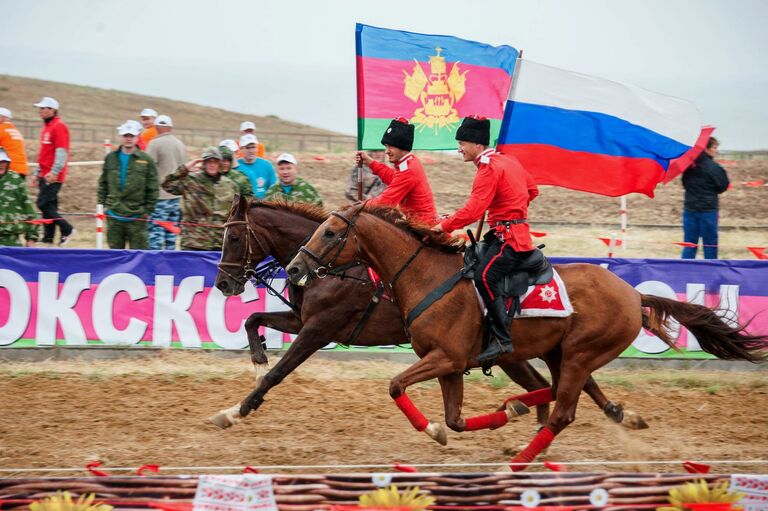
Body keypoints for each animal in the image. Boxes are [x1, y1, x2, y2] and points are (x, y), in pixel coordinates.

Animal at [207, 197, 644, 436]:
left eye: (234, 236)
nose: (224, 283)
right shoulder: (303, 321)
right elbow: (253, 320)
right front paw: (257, 357)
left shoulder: (318, 328)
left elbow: (279, 372)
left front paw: (237, 410)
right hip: (525, 354)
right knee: (558, 383)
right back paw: (606, 415)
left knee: (560, 383)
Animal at [284, 203, 764, 472]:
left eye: (330, 231)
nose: (293, 267)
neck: (428, 277)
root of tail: (632, 293)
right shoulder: (450, 365)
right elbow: (455, 419)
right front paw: (485, 418)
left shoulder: (446, 358)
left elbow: (396, 385)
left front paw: (434, 429)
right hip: (559, 352)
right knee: (565, 389)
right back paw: (592, 415)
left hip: (578, 352)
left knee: (564, 409)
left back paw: (520, 460)